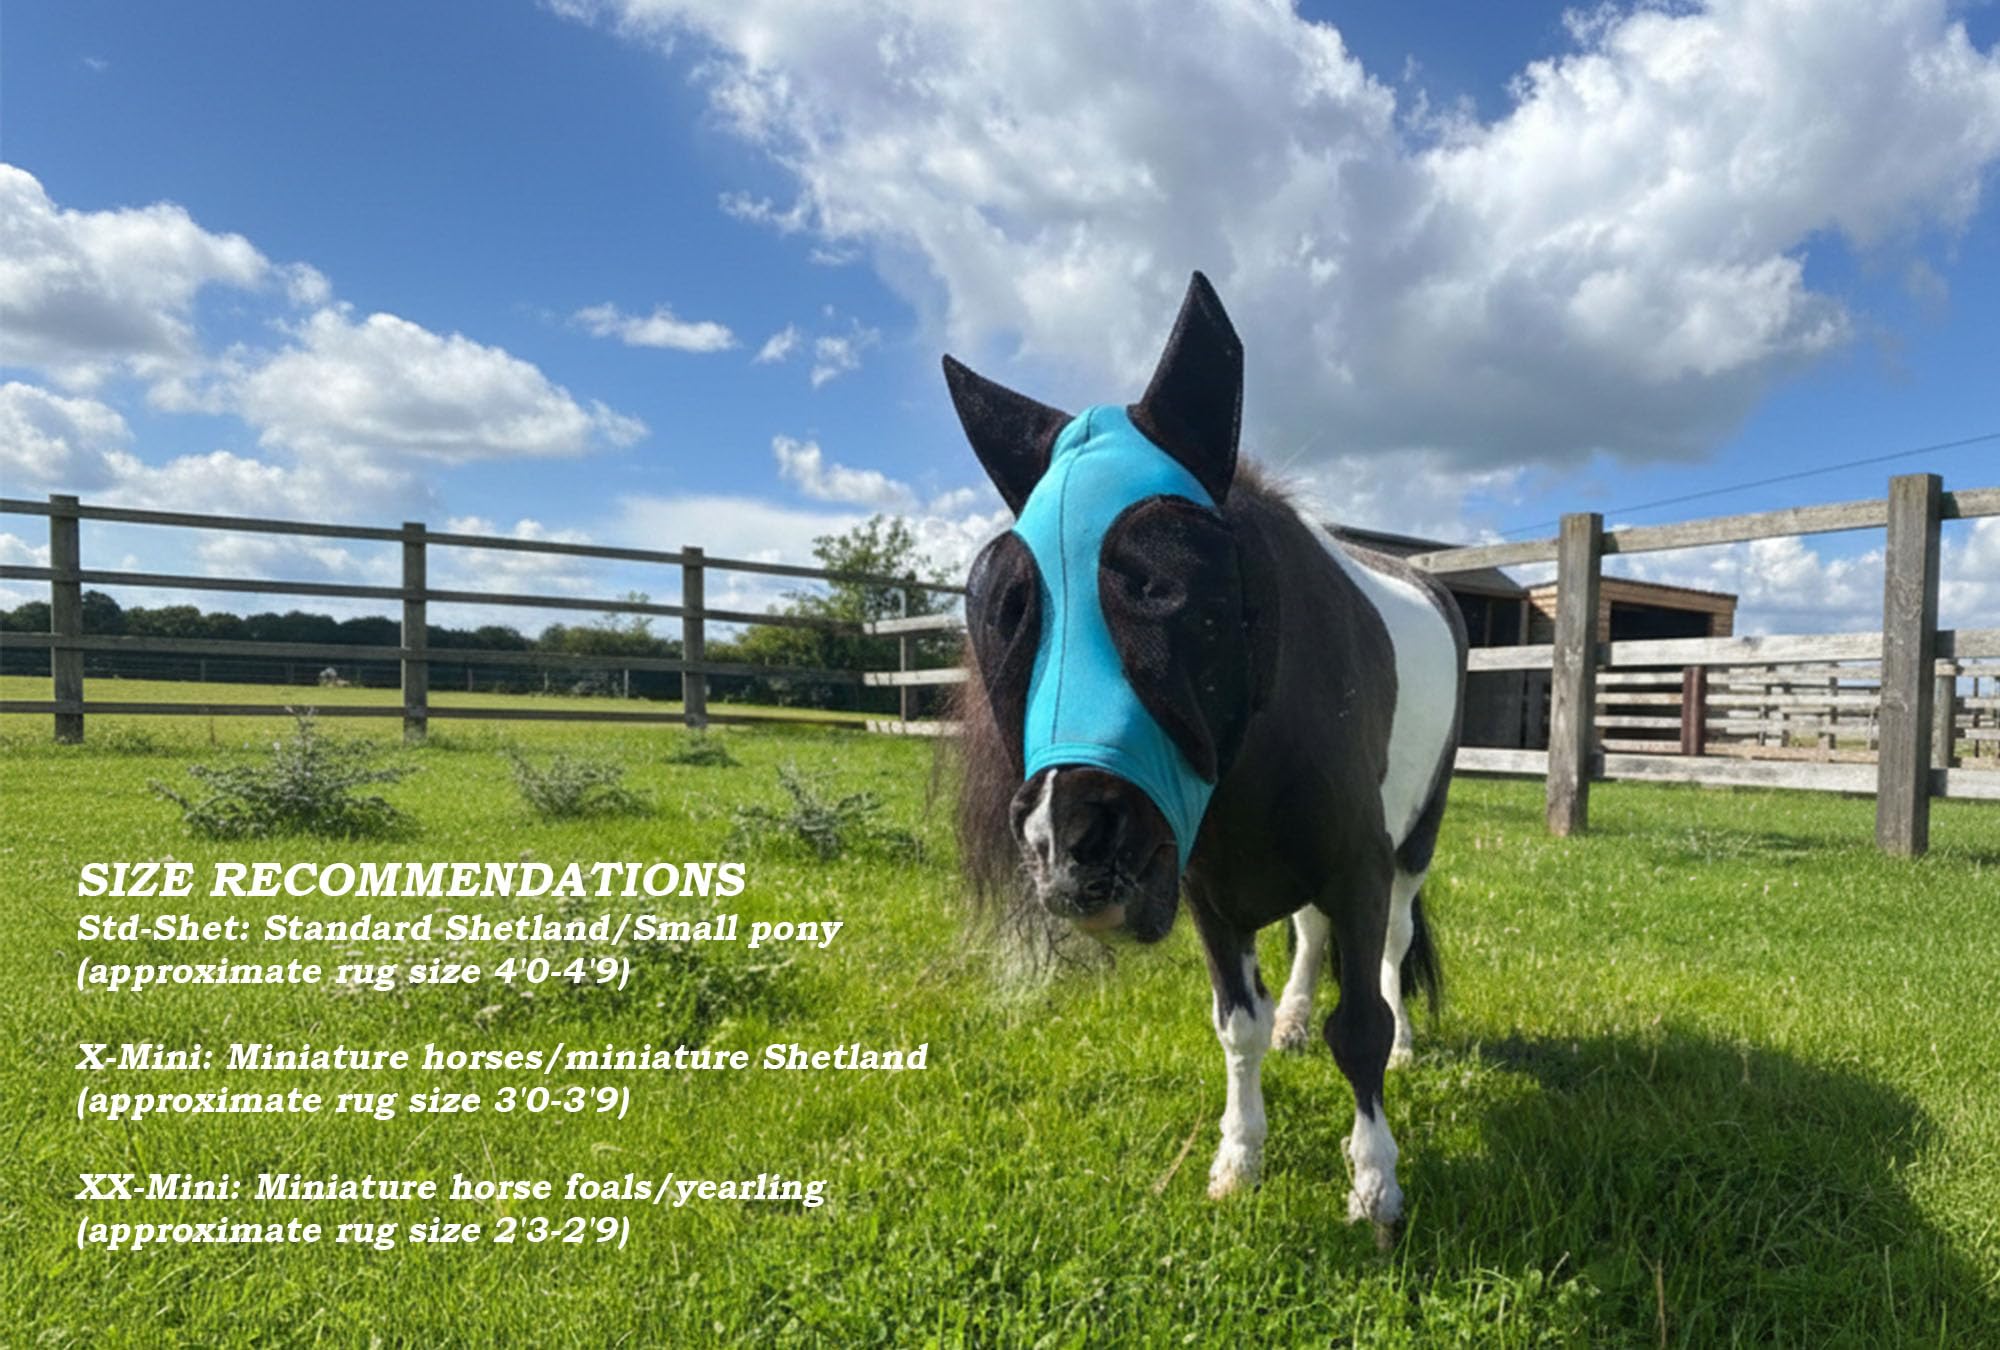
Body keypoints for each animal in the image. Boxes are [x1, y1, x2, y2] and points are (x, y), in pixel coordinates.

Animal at [945, 272, 1467, 1235]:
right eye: (1007, 604)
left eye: (1171, 586)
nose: (1070, 845)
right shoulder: (1208, 892)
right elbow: (1238, 1024)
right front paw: (1238, 1159)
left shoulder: (1359, 865)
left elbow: (1363, 1026)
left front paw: (1375, 1183)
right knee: (1309, 937)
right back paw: (1295, 1018)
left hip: (1414, 844)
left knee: (1392, 947)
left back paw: (1406, 1044)